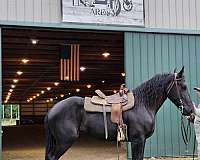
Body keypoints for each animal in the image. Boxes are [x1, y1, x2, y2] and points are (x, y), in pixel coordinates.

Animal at [44, 67, 194, 159]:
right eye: (183, 86)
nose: (190, 110)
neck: (143, 104)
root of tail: (52, 110)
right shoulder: (137, 140)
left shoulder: (142, 141)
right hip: (64, 141)